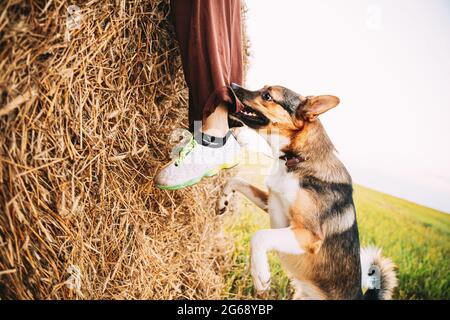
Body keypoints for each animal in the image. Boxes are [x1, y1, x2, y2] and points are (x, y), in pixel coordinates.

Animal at [218, 84, 398, 298]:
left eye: (267, 96)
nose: (232, 85)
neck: (298, 160)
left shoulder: (308, 235)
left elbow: (260, 236)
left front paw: (260, 275)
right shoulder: (272, 203)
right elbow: (236, 180)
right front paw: (223, 200)